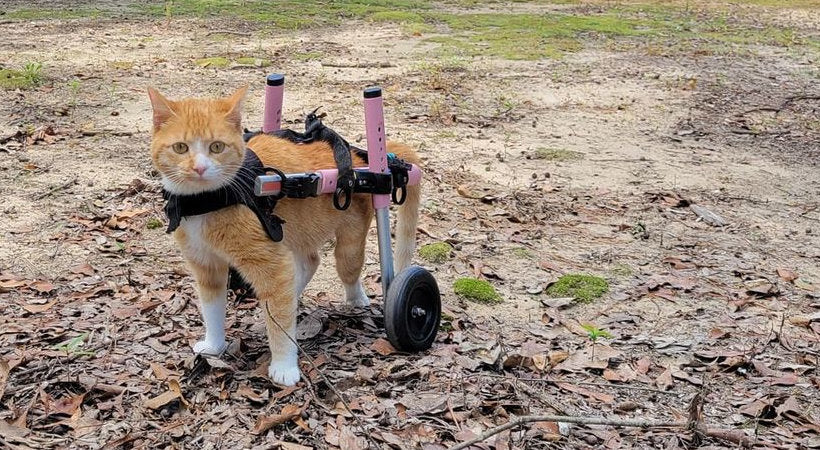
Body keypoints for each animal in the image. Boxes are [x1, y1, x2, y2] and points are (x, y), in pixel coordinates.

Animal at [145, 86, 422, 384]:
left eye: (216, 147)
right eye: (180, 148)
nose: (199, 168)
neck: (207, 201)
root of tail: (363, 161)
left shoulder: (270, 263)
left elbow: (279, 326)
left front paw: (284, 367)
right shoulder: (206, 266)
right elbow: (213, 311)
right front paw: (214, 345)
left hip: (347, 242)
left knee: (347, 270)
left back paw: (357, 300)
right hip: (296, 233)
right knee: (307, 264)